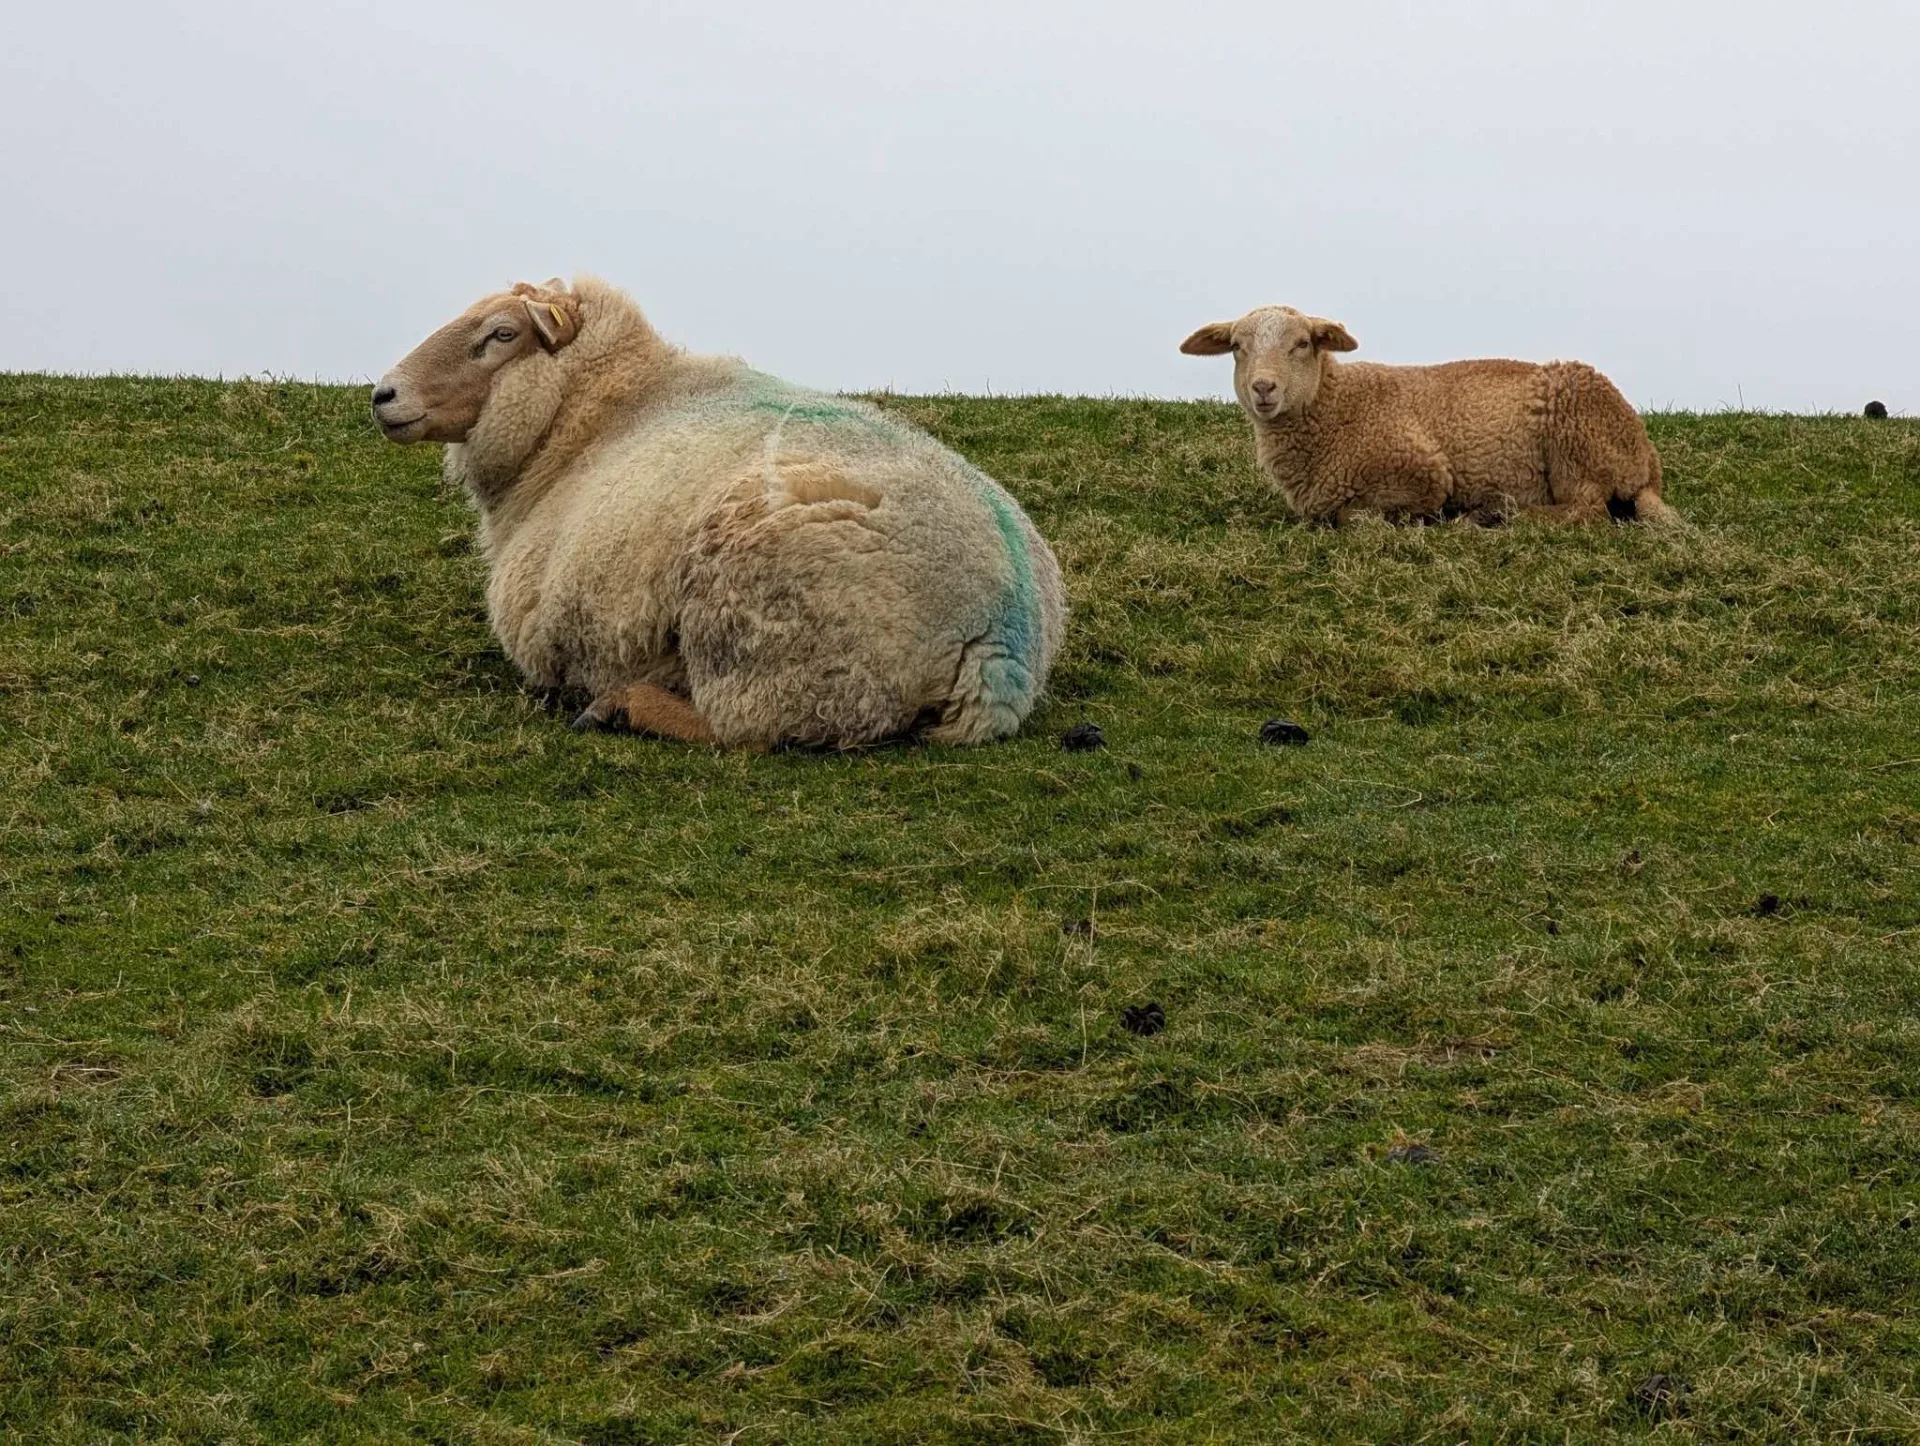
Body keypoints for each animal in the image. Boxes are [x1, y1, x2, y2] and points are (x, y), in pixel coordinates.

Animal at [372, 276, 1066, 749]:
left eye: (501, 335)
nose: (383, 394)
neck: (594, 416)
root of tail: (1002, 643)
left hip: (772, 638)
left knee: (744, 731)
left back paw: (620, 706)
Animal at [1180, 307, 1674, 526]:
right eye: (1237, 347)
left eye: (1302, 343)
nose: (1264, 387)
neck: (1337, 407)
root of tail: (1645, 459)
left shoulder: (1425, 472)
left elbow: (1353, 516)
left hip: (1576, 444)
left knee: (1586, 512)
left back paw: (1495, 515)